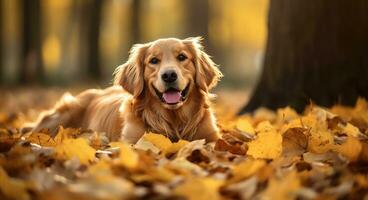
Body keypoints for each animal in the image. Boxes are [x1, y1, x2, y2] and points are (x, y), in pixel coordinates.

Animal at [32, 37, 221, 143]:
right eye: (153, 61)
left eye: (182, 57)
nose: (169, 75)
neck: (174, 118)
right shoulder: (133, 141)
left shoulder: (211, 137)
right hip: (62, 116)